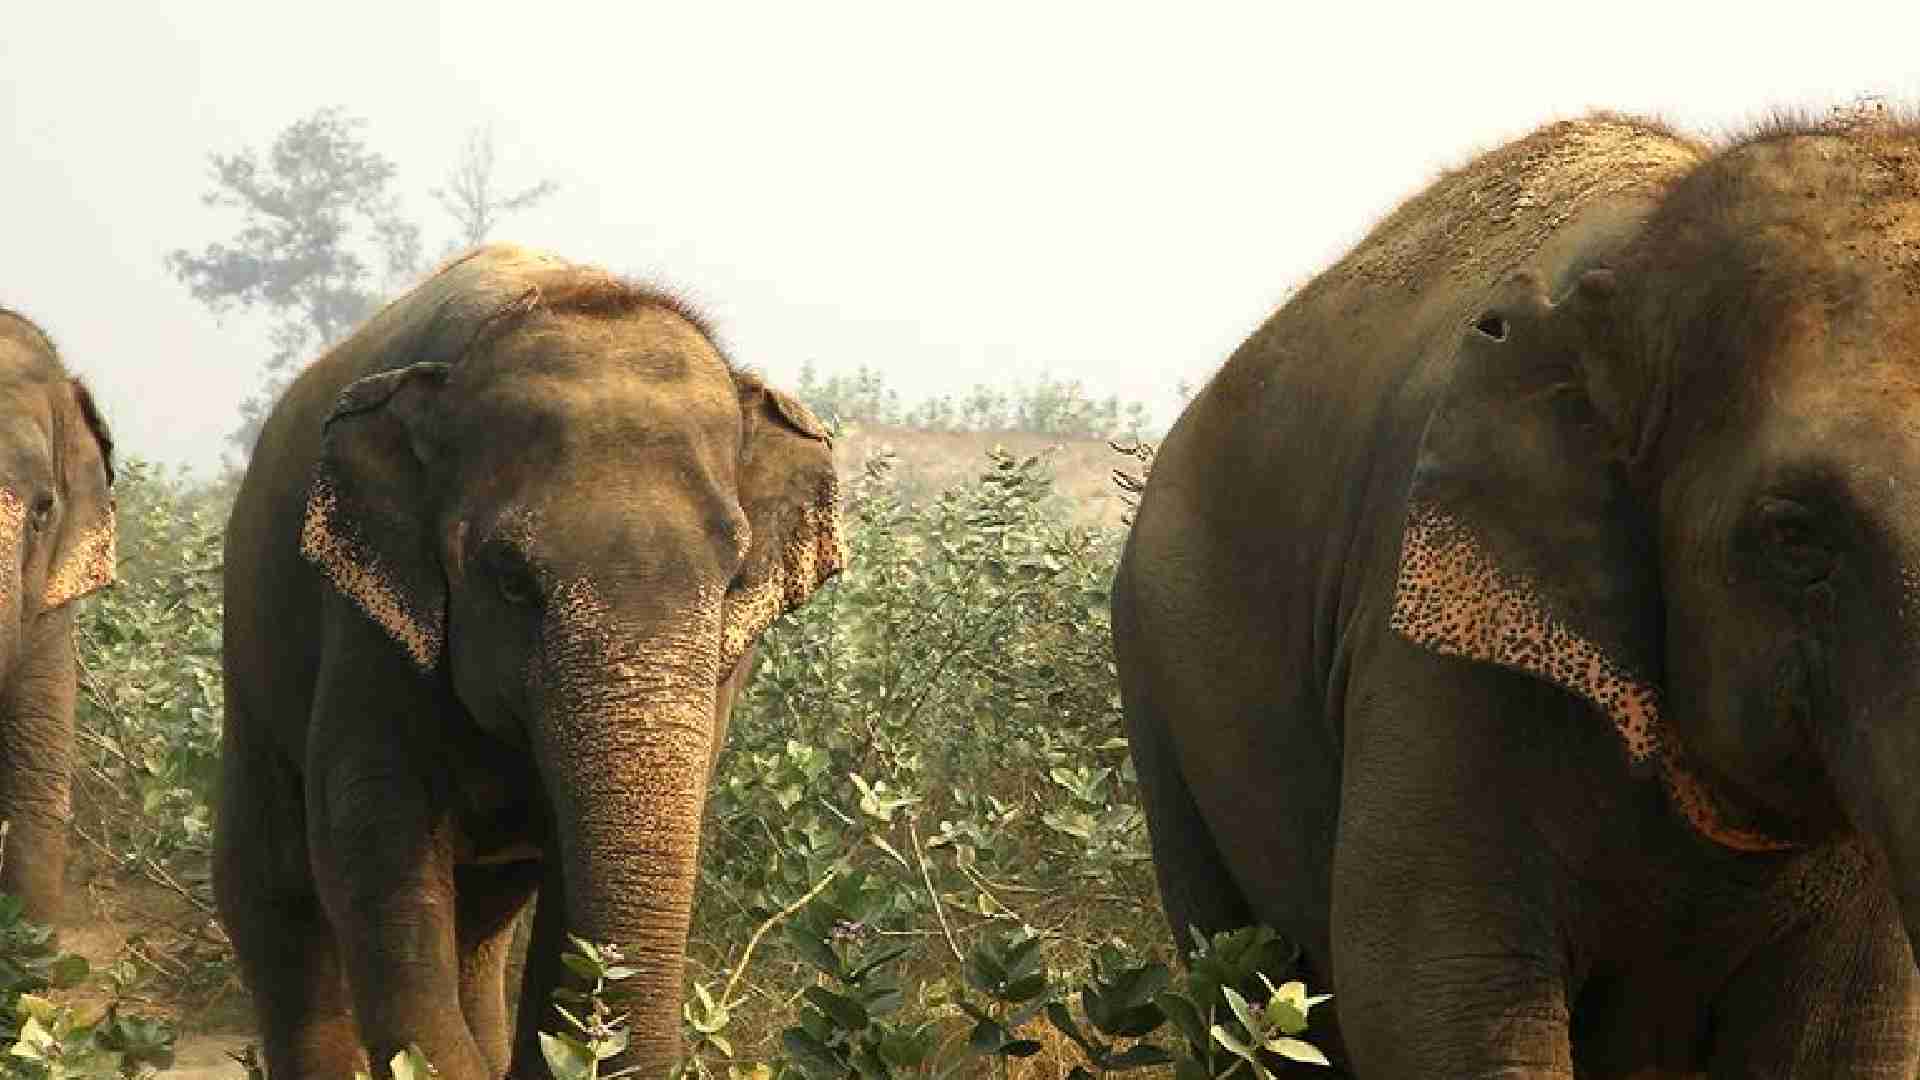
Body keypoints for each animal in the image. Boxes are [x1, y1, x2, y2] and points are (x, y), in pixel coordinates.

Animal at [214, 243, 845, 1080]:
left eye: (735, 576)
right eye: (510, 580)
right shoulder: (368, 621)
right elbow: (372, 846)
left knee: (481, 921)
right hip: (251, 652)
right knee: (275, 895)